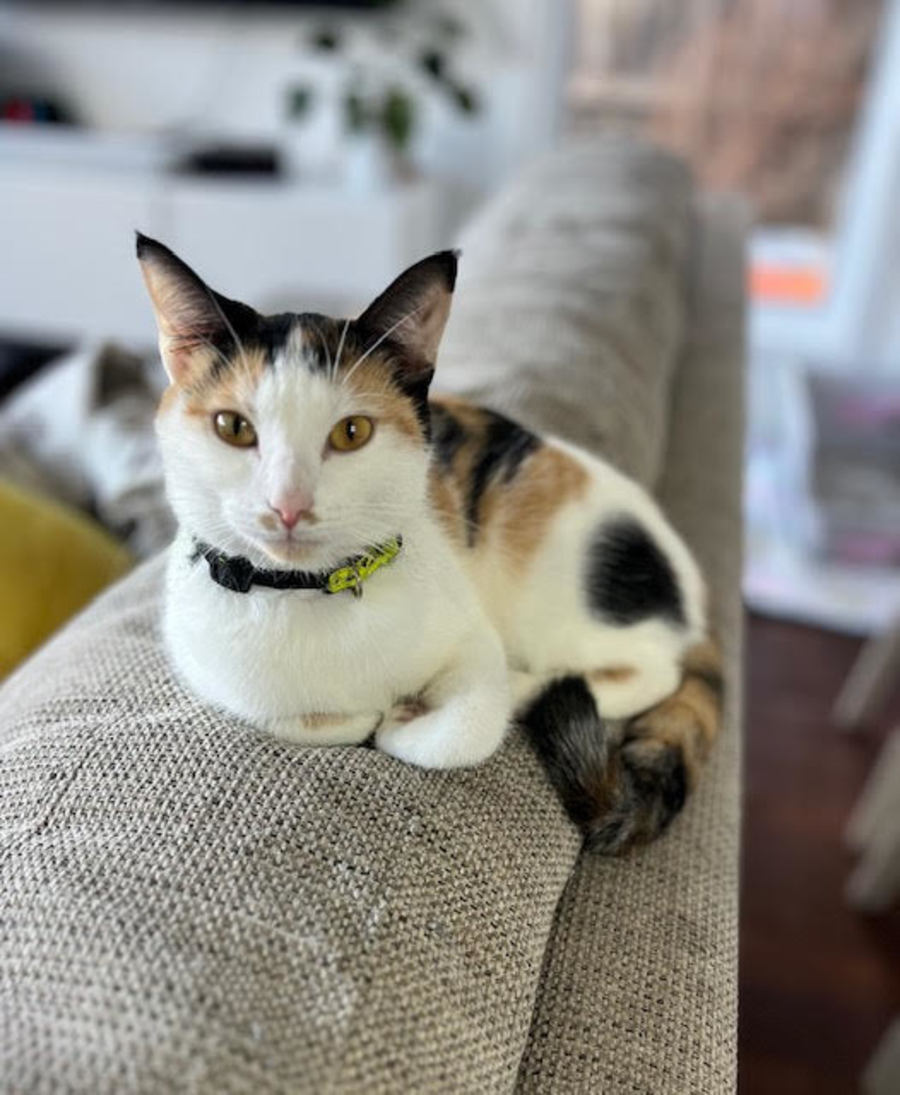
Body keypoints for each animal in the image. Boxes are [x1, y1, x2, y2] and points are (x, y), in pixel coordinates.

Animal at [137, 234, 722, 854]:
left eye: (351, 433)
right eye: (232, 427)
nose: (288, 505)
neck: (309, 595)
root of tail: (690, 581)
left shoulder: (473, 637)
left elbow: (466, 729)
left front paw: (402, 720)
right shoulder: (206, 666)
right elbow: (291, 714)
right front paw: (363, 715)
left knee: (649, 669)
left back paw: (530, 685)